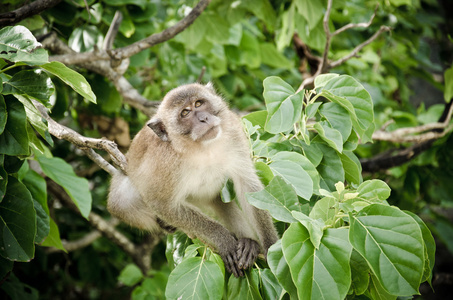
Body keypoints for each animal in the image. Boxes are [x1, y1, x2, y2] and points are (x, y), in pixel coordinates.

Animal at [107, 82, 278, 276]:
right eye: (185, 113)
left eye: (198, 104)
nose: (203, 118)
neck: (200, 148)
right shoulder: (166, 163)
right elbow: (161, 203)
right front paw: (222, 238)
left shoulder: (233, 132)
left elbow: (248, 186)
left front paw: (270, 246)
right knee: (121, 202)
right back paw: (165, 225)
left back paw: (249, 243)